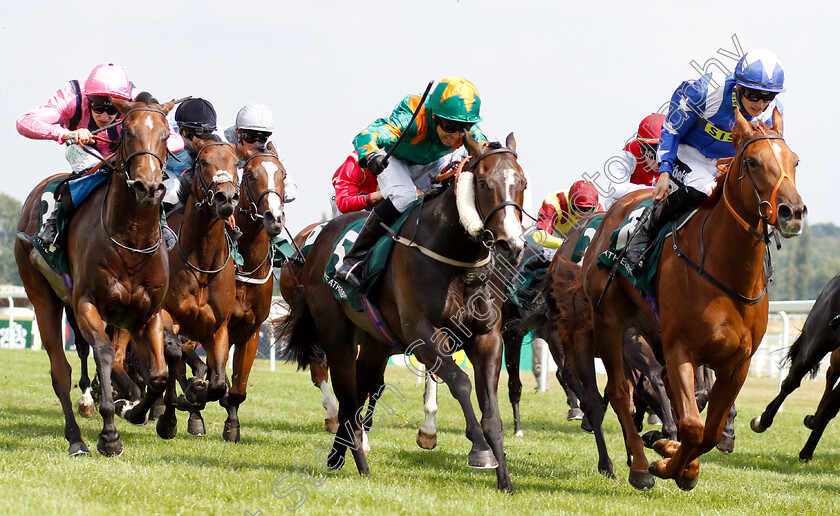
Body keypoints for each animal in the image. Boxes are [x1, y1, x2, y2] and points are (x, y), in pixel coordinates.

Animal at [14, 97, 172, 456]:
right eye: (128, 131)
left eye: (166, 134)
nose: (148, 187)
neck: (131, 242)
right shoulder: (87, 303)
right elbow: (103, 353)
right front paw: (109, 435)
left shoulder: (147, 314)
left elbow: (157, 375)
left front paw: (139, 412)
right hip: (43, 298)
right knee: (61, 371)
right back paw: (76, 438)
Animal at [153, 135, 240, 438]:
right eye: (203, 162)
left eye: (236, 163)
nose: (226, 197)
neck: (201, 260)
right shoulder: (168, 316)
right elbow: (172, 356)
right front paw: (171, 415)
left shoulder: (218, 328)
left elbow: (218, 383)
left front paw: (198, 391)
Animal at [276, 134, 524, 492]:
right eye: (482, 182)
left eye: (522, 183)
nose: (511, 245)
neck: (455, 258)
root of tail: (316, 241)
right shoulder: (422, 335)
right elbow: (460, 382)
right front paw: (479, 449)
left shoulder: (487, 337)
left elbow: (490, 410)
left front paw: (504, 479)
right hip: (337, 337)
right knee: (346, 398)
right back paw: (360, 463)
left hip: (374, 344)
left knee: (360, 394)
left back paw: (338, 456)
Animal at [580, 110, 804, 492]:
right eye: (753, 161)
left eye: (795, 160)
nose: (793, 212)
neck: (727, 270)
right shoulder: (680, 348)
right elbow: (693, 425)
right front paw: (667, 465)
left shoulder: (737, 362)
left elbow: (708, 430)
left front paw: (677, 458)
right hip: (609, 319)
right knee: (620, 391)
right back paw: (640, 466)